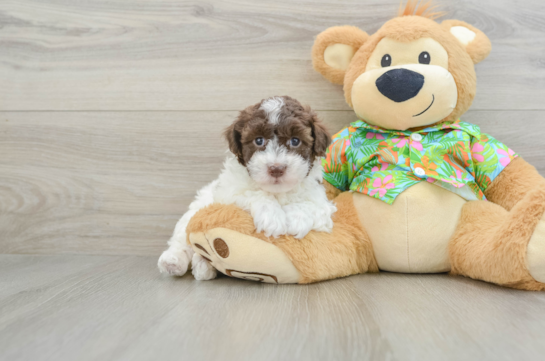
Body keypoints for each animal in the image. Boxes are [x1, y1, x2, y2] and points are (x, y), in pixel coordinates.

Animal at [157, 97, 336, 280]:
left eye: (295, 141)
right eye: (259, 140)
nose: (276, 168)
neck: (277, 192)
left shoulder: (320, 198)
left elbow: (312, 205)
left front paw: (296, 220)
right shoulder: (228, 191)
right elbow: (253, 193)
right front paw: (272, 217)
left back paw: (203, 265)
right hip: (196, 208)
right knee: (182, 239)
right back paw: (174, 261)